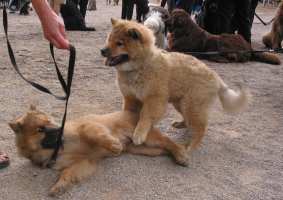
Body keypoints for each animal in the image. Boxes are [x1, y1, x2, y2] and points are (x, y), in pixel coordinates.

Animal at [9, 105, 189, 196]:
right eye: (40, 129)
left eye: (50, 120)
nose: (60, 128)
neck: (58, 148)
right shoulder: (84, 162)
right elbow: (68, 173)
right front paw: (60, 185)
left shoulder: (88, 126)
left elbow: (96, 135)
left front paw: (113, 145)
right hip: (142, 149)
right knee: (163, 148)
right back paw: (175, 155)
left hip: (147, 138)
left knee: (169, 142)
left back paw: (181, 154)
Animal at [101, 19, 251, 152]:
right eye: (109, 39)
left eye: (119, 43)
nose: (102, 50)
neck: (140, 66)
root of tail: (216, 77)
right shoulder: (130, 97)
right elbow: (127, 114)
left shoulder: (154, 99)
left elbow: (145, 116)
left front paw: (139, 134)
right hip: (181, 103)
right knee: (189, 120)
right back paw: (181, 124)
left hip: (192, 105)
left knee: (201, 127)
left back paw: (191, 146)